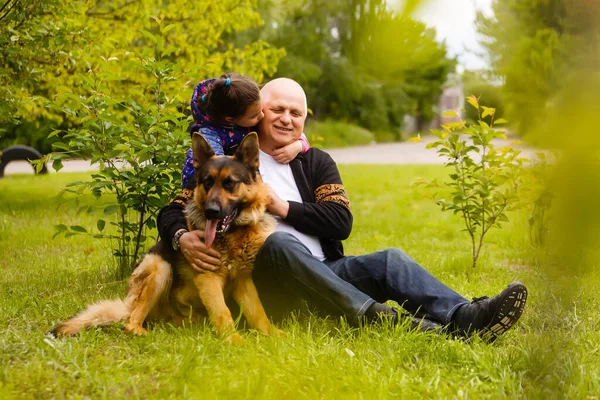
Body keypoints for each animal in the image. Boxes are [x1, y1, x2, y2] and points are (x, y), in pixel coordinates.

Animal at [52, 132, 282, 344]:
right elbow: (222, 312)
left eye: (230, 183)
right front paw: (234, 341)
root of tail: (127, 305)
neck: (233, 235)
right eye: (207, 182)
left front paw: (272, 335)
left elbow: (258, 311)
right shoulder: (209, 279)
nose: (210, 211)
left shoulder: (243, 282)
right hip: (161, 268)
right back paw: (142, 332)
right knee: (131, 323)